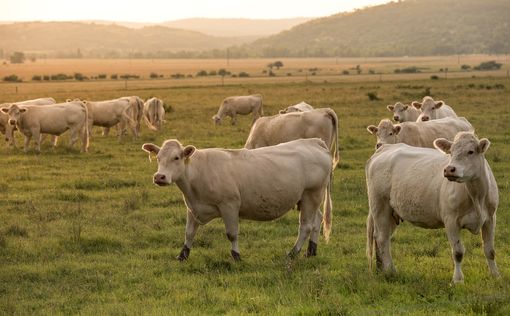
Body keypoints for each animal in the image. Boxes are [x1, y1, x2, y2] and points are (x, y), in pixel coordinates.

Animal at [142, 139, 334, 262]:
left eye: (176, 157)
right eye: (158, 158)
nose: (159, 177)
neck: (197, 172)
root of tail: (314, 142)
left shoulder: (229, 205)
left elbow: (232, 234)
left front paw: (236, 256)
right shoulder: (193, 208)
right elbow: (189, 233)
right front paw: (182, 255)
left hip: (311, 194)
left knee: (306, 226)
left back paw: (293, 253)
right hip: (308, 199)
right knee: (316, 221)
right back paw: (311, 251)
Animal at [366, 133, 502, 284]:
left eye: (471, 151)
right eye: (451, 152)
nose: (449, 169)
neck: (476, 196)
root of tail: (385, 148)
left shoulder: (490, 219)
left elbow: (490, 250)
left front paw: (495, 275)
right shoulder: (451, 221)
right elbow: (458, 252)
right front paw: (457, 280)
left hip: (391, 212)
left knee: (382, 238)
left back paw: (382, 269)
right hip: (380, 205)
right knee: (382, 238)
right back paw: (390, 271)